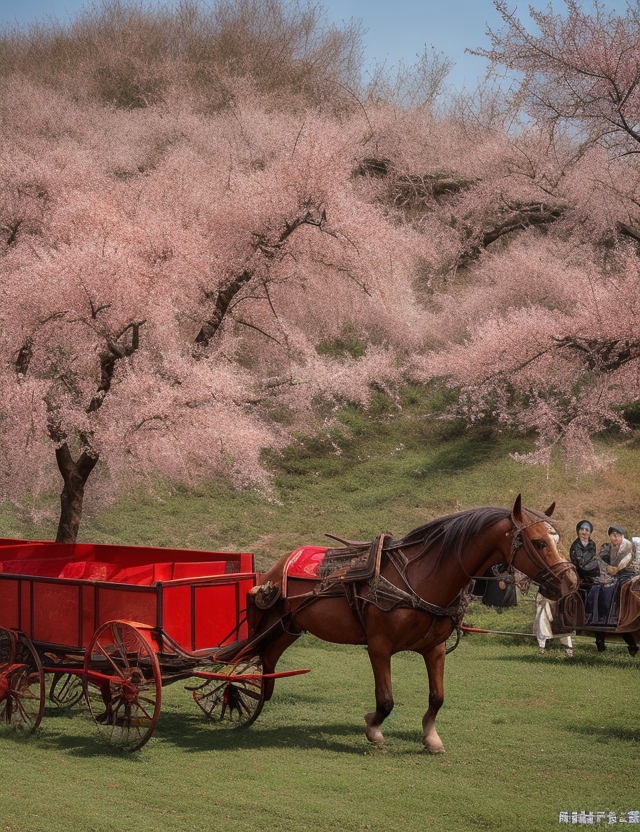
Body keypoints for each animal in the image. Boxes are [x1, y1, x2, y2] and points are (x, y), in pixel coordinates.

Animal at [229, 494, 576, 752]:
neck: (422, 579)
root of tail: (278, 566)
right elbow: (386, 700)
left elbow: (437, 697)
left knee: (265, 658)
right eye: (539, 542)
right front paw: (373, 727)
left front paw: (431, 738)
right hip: (268, 622)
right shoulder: (379, 647)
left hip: (288, 627)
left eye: (557, 538)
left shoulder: (435, 649)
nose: (570, 581)